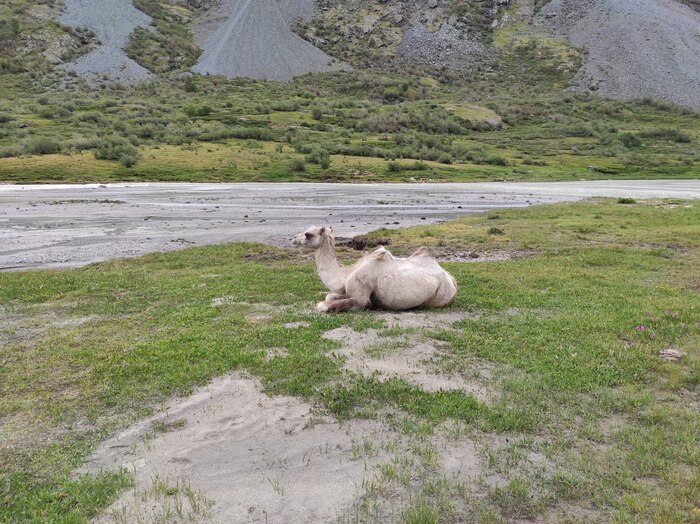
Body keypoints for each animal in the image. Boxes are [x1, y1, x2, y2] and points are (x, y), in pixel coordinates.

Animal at [292, 226, 457, 313]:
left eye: (308, 234)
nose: (293, 238)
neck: (345, 274)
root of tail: (452, 280)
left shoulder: (360, 297)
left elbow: (323, 305)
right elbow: (329, 296)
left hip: (441, 297)